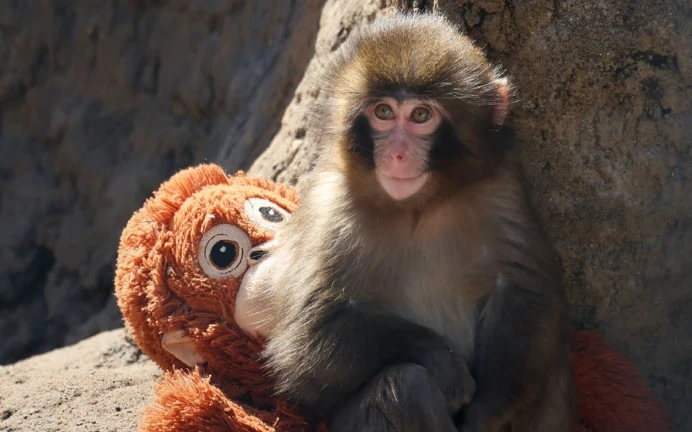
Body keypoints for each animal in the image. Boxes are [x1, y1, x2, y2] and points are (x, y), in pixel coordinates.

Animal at [260, 12, 576, 432]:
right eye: (383, 112)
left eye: (421, 116)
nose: (396, 154)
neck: (418, 208)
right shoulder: (330, 211)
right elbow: (305, 344)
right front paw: (442, 362)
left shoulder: (501, 188)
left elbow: (525, 291)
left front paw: (488, 413)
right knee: (405, 385)